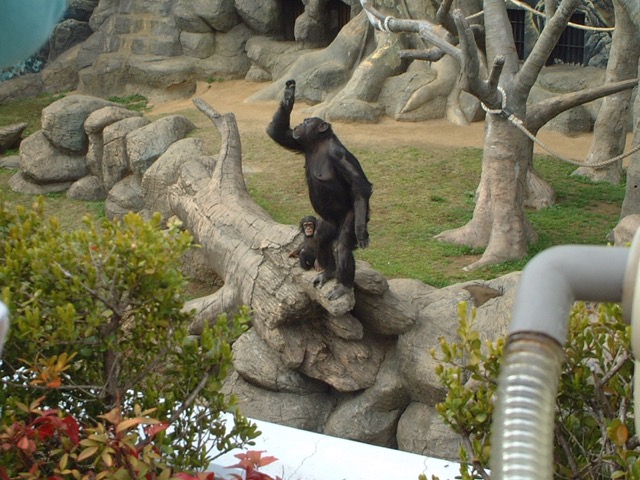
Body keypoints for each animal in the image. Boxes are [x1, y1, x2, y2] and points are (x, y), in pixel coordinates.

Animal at [268, 79, 372, 300]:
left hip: (349, 216)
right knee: (321, 240)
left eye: (309, 121)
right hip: (326, 222)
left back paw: (343, 286)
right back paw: (329, 272)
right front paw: (288, 95)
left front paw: (361, 232)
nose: (301, 122)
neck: (318, 145)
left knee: (341, 247)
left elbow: (359, 185)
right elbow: (278, 133)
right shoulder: (300, 143)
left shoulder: (339, 154)